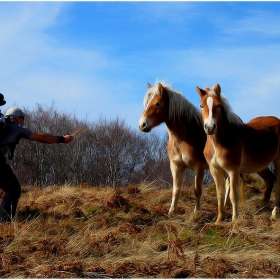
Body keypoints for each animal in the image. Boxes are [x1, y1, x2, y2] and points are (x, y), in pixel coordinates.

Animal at [138, 82, 208, 215]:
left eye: (158, 103)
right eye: (147, 103)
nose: (142, 125)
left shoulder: (199, 167)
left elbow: (197, 190)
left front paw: (196, 212)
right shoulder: (176, 166)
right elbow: (176, 189)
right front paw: (172, 211)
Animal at [196, 83, 280, 223]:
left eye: (219, 105)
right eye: (201, 106)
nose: (210, 128)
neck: (219, 142)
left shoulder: (233, 170)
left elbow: (233, 195)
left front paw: (234, 220)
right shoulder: (215, 169)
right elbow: (220, 194)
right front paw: (219, 220)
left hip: (278, 160)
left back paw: (274, 213)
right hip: (260, 165)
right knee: (270, 180)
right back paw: (263, 208)